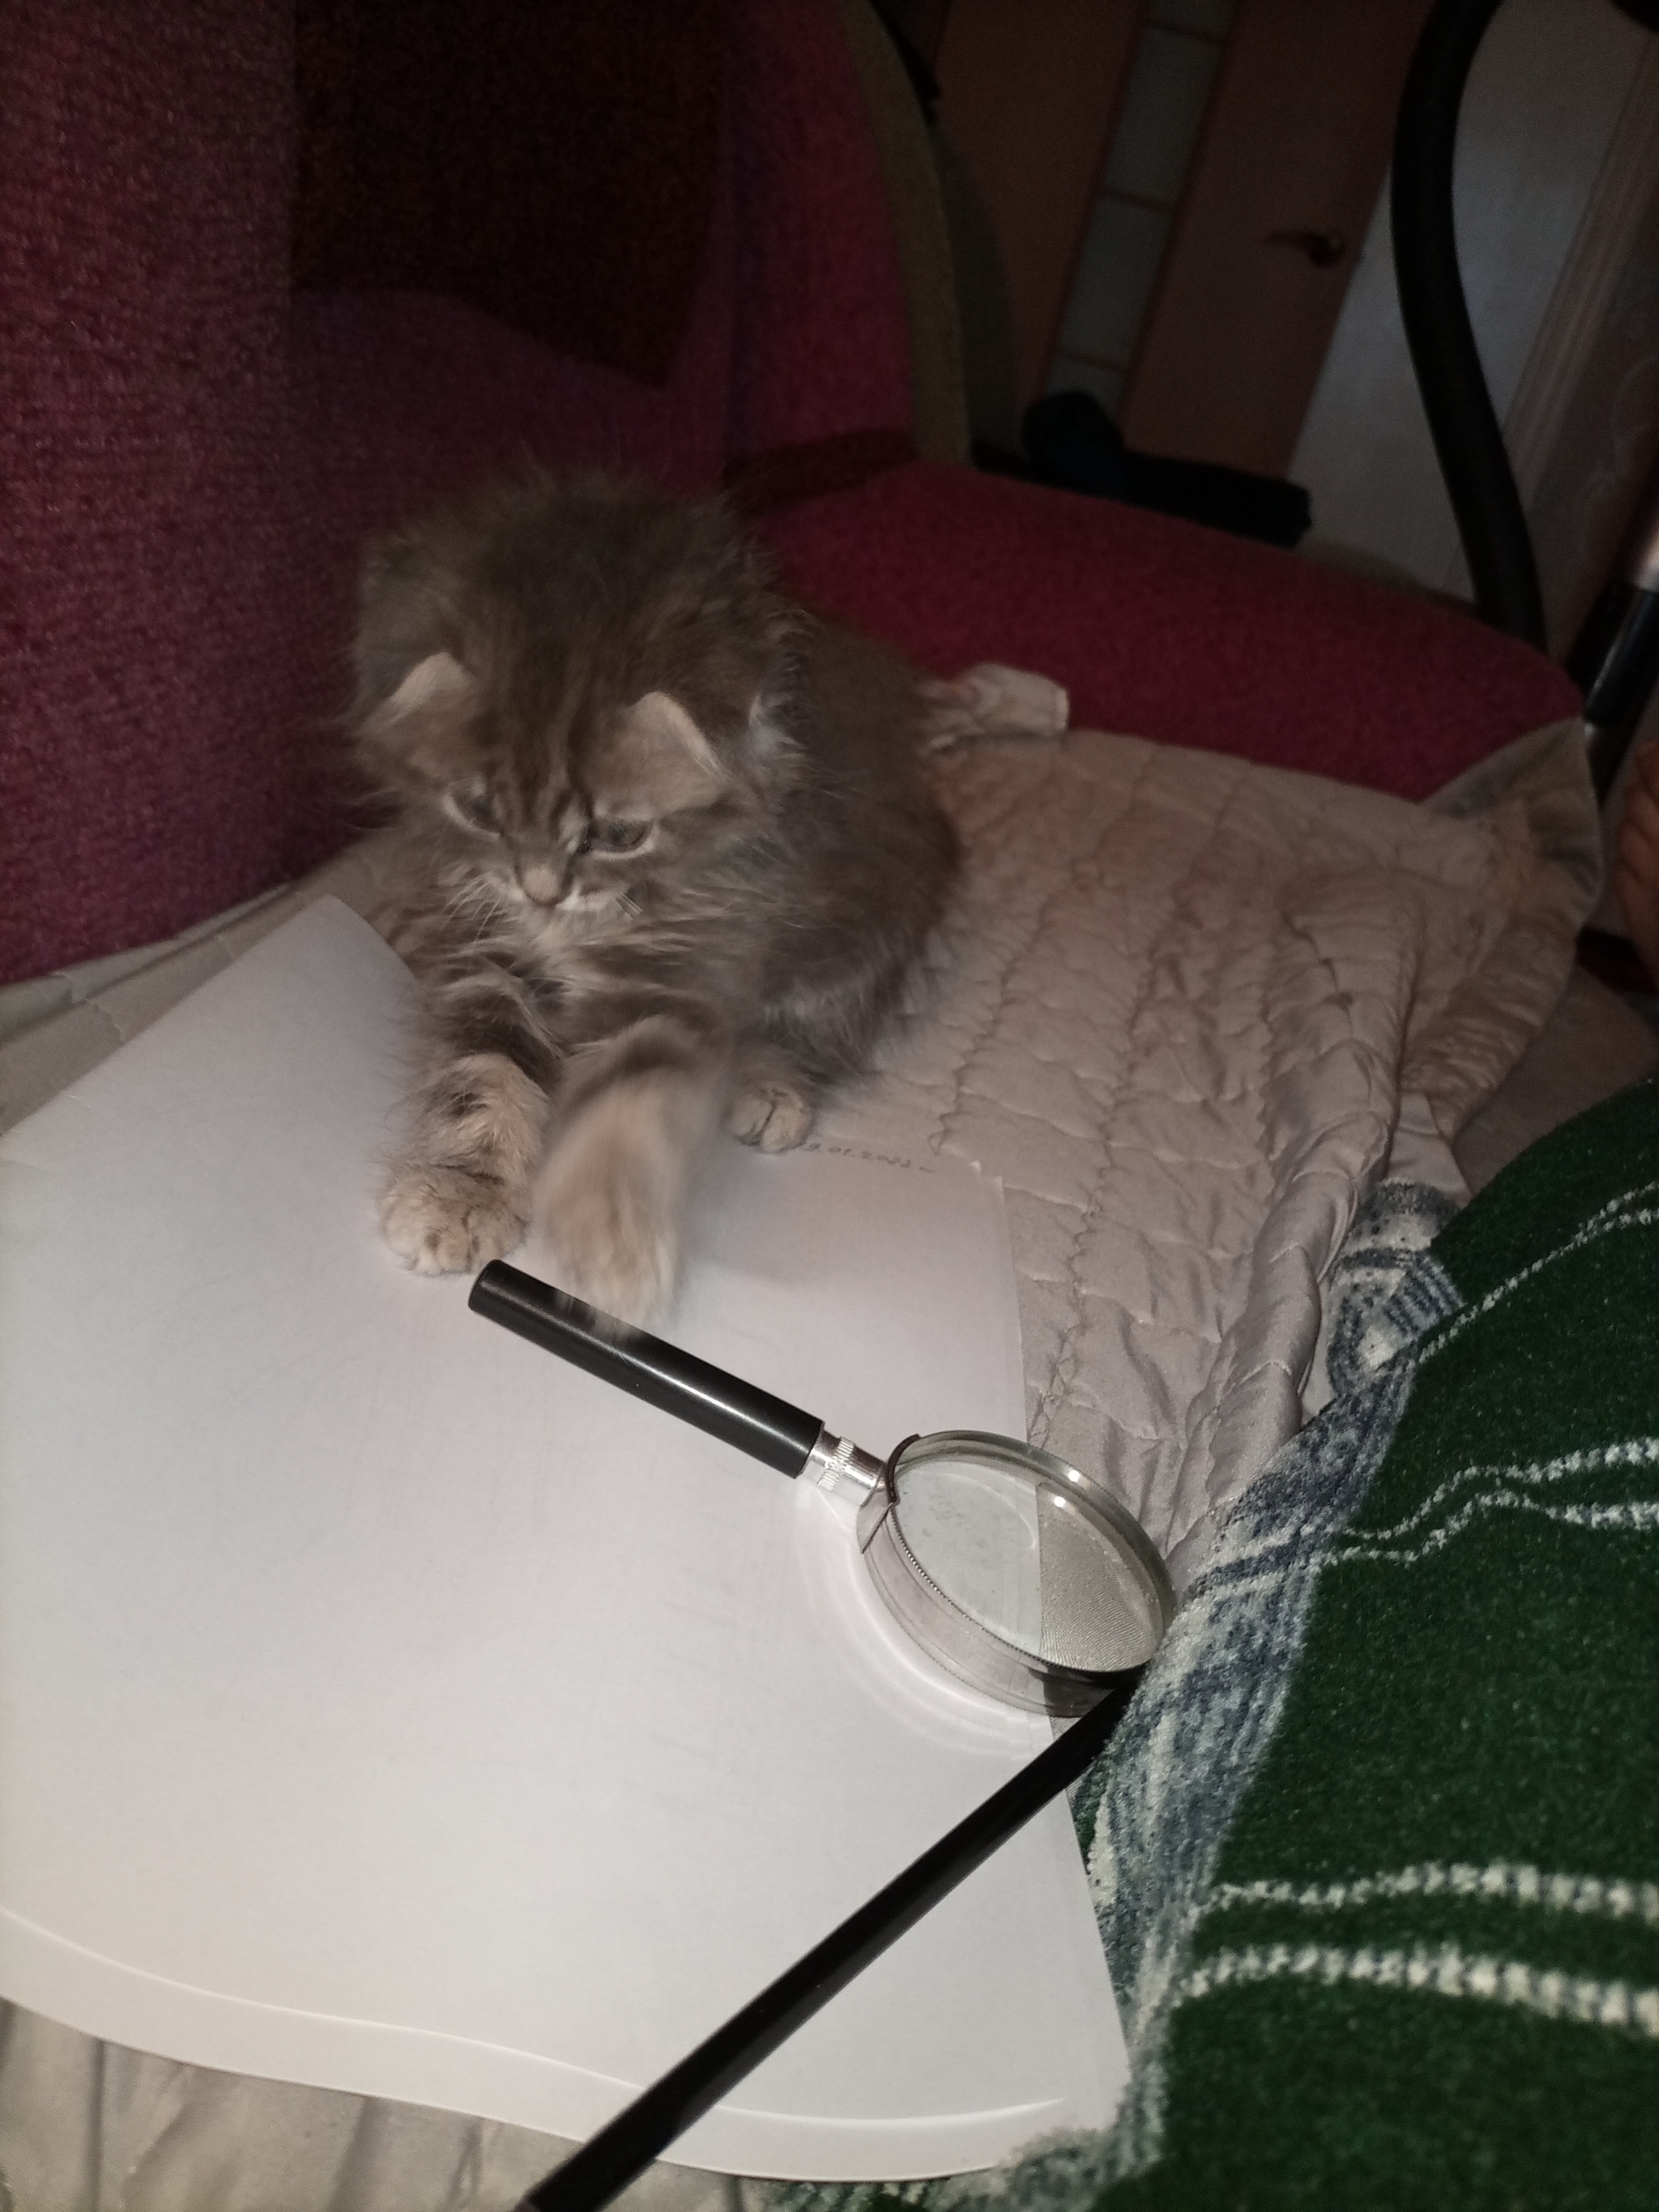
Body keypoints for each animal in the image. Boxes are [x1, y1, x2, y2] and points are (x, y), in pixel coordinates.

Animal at [352, 473, 958, 1322]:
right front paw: (461, 1190)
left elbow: (631, 1097)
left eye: (616, 833)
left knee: (818, 1024)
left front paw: (609, 1237)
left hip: (869, 924)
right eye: (481, 811)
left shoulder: (688, 961)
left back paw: (770, 1083)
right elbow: (483, 1067)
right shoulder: (487, 943)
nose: (542, 890)